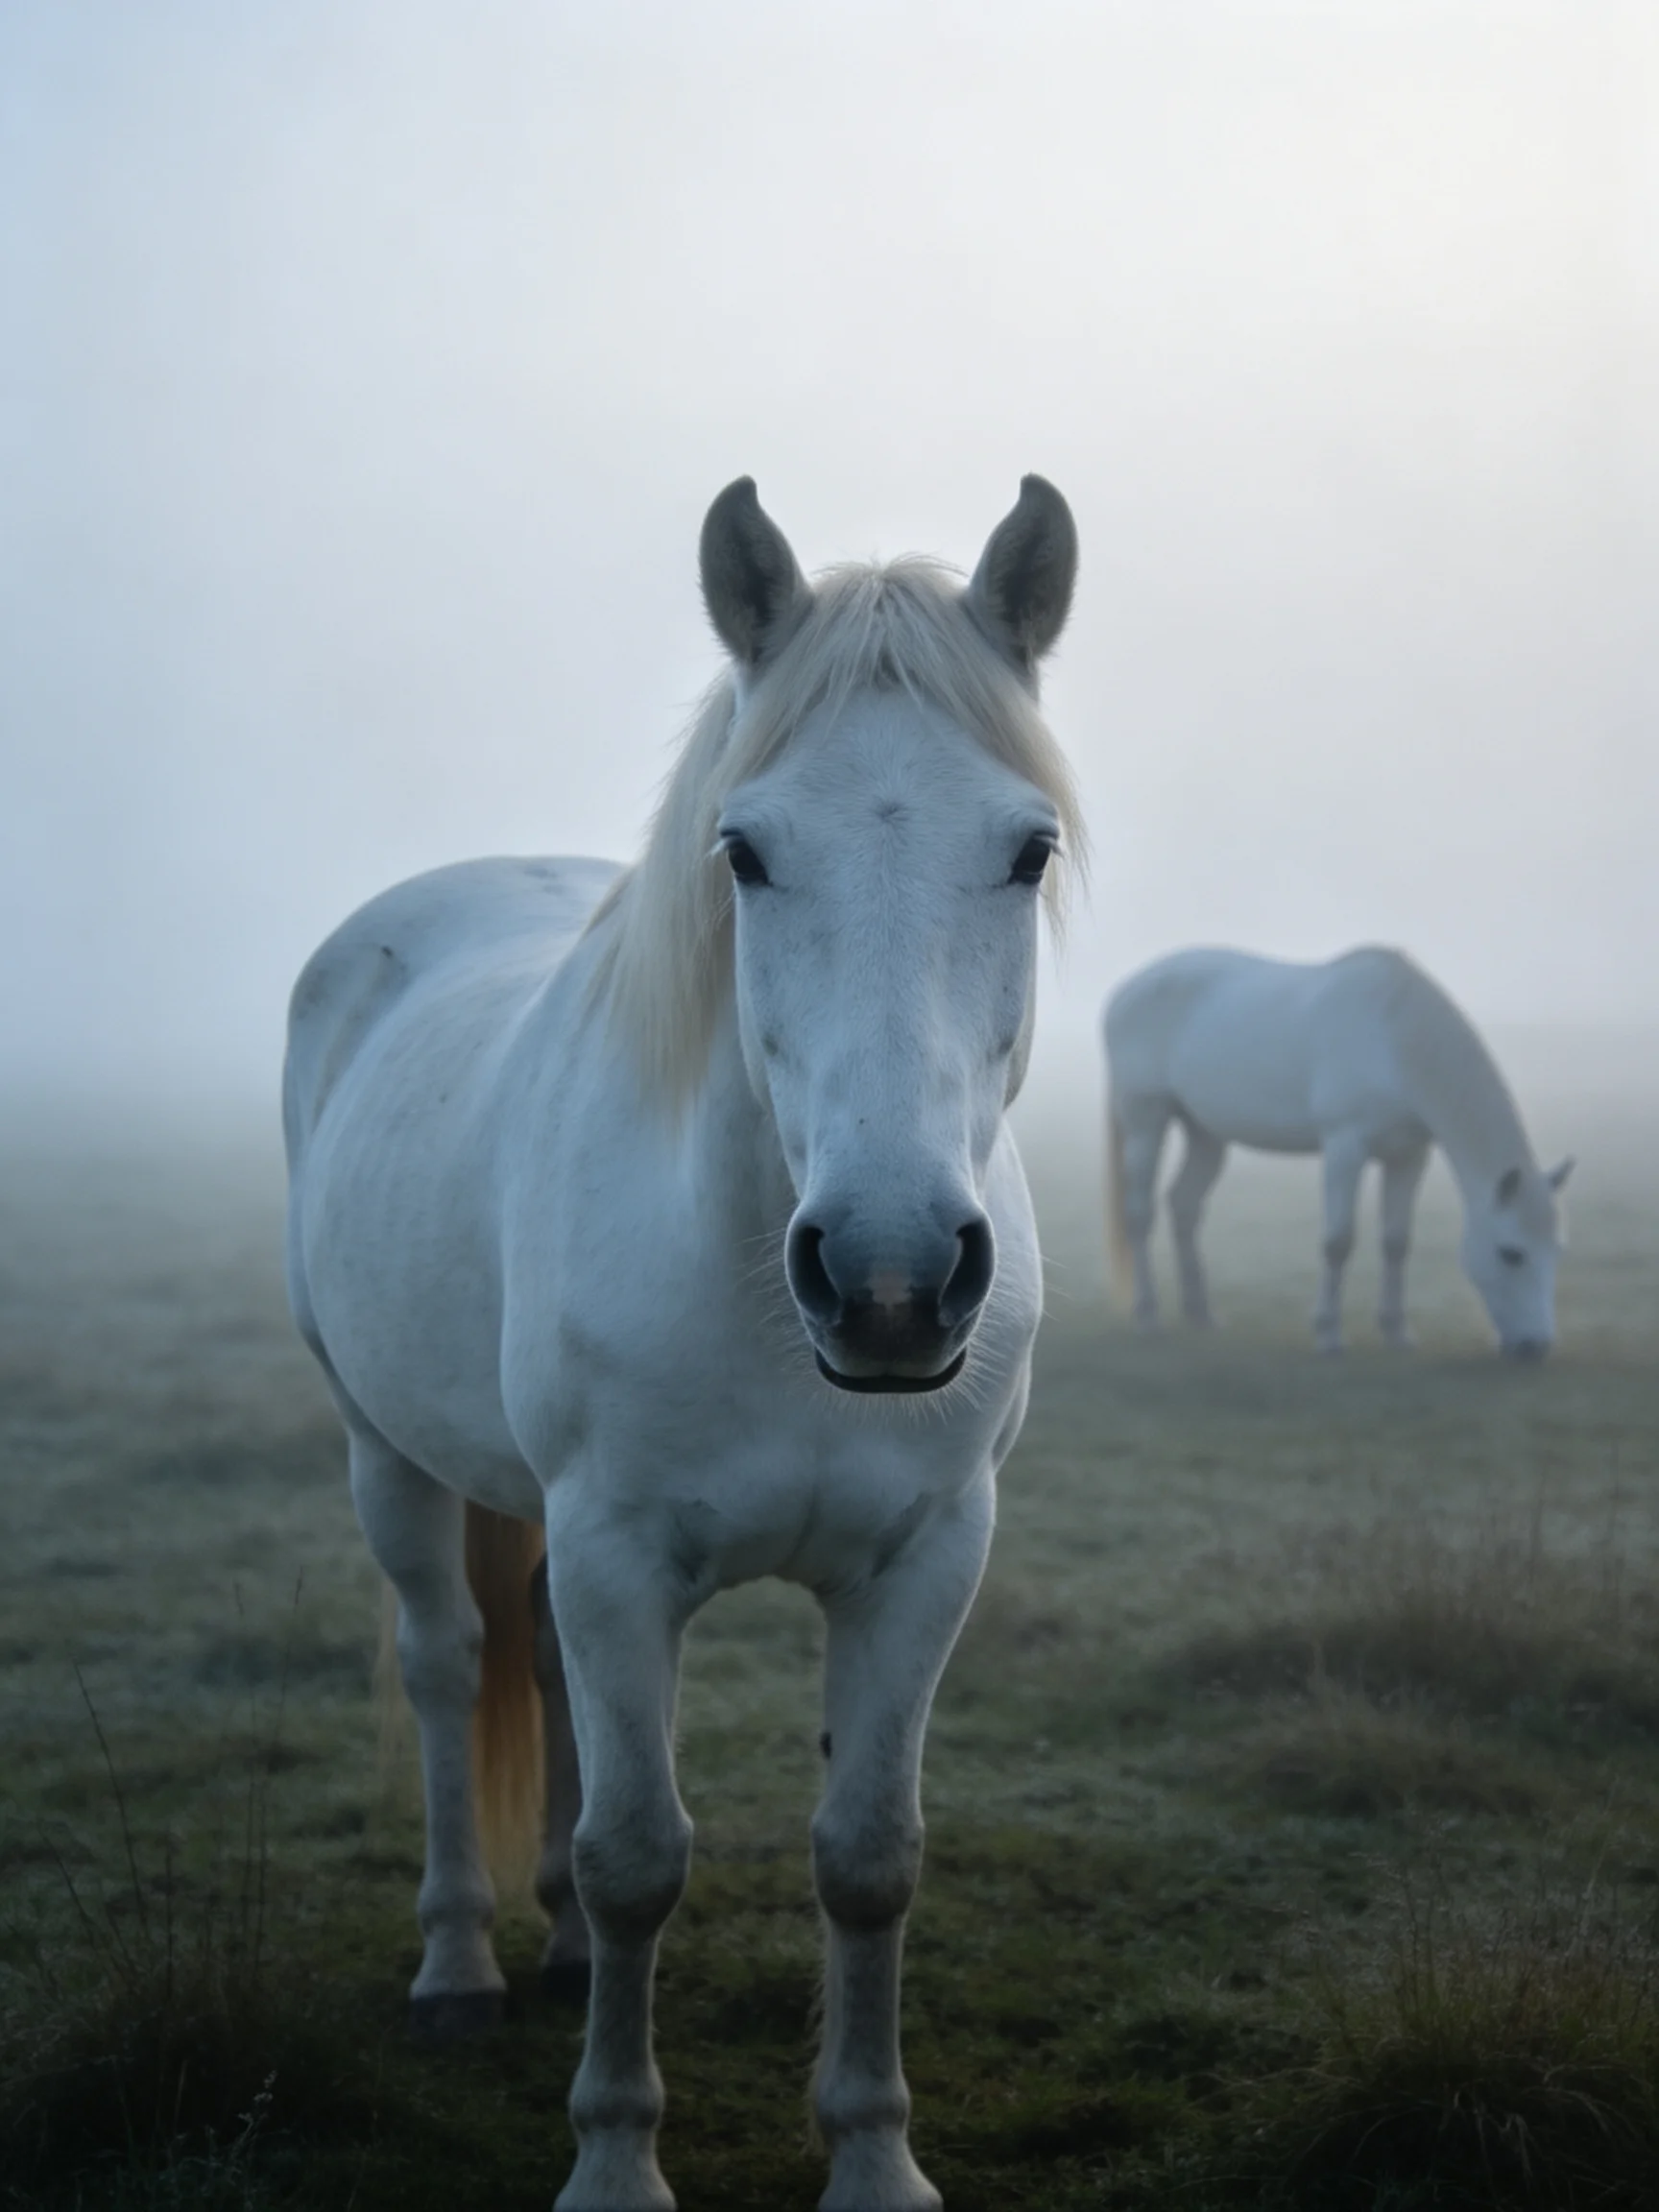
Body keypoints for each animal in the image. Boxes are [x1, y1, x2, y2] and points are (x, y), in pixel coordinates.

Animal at [283, 474, 1083, 2212]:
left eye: (1027, 845)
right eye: (746, 850)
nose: (890, 1279)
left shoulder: (926, 1554)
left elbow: (867, 1857)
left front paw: (873, 2159)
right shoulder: (615, 1548)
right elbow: (639, 1854)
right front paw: (613, 2164)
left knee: (546, 1686)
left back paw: (563, 1957)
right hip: (390, 1458)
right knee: (452, 1666)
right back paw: (458, 1965)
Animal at [1103, 946, 1573, 1360]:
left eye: (1557, 1250)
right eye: (1511, 1253)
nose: (1534, 1348)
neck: (1392, 1040)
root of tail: (1124, 992)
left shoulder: (1408, 1156)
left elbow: (1396, 1241)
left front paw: (1396, 1331)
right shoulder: (1345, 1147)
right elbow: (1338, 1240)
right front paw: (1328, 1334)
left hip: (1206, 1133)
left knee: (1184, 1205)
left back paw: (1200, 1314)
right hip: (1146, 1119)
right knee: (1140, 1213)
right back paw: (1148, 1316)